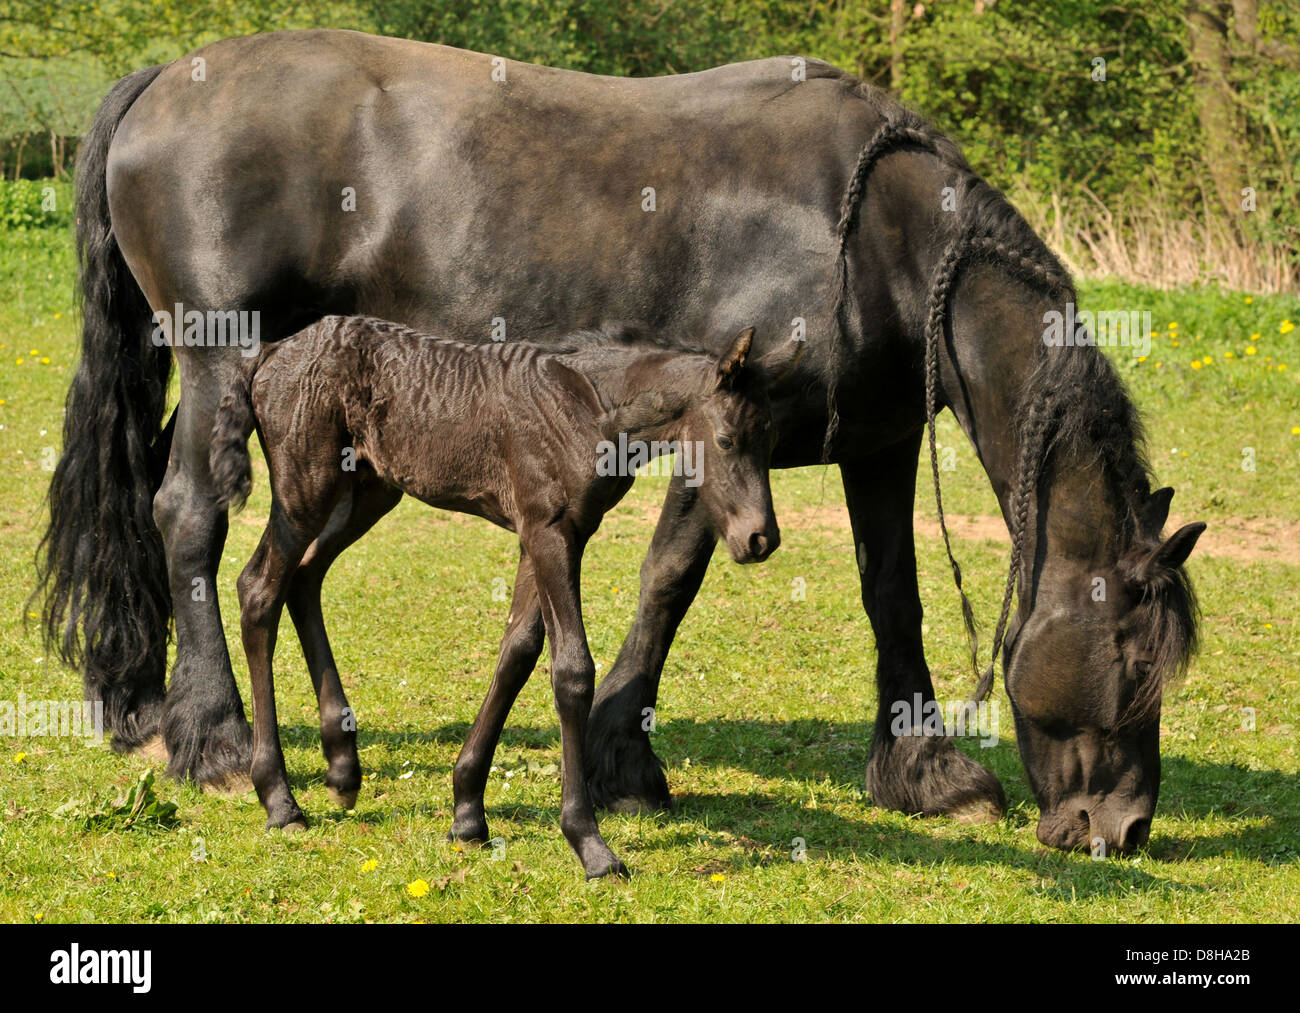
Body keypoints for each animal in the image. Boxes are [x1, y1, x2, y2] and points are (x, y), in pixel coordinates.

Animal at [211, 317, 790, 879]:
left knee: (305, 578)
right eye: (725, 441)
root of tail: (270, 353)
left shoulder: (549, 534)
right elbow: (571, 671)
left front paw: (467, 813)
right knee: (259, 589)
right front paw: (590, 845)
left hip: (370, 490)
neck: (590, 406)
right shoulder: (550, 531)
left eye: (770, 440)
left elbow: (517, 653)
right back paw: (280, 800)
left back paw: (342, 768)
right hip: (305, 488)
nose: (761, 539)